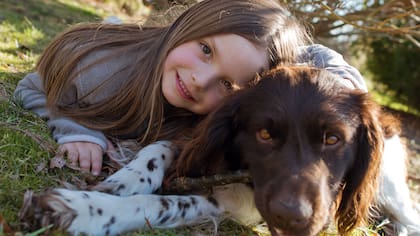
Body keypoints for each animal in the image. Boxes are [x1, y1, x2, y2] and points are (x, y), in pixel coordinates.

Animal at [20, 66, 420, 234]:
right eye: (264, 134)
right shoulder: (197, 140)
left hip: (387, 185)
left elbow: (162, 204)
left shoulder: (240, 207)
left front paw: (83, 211)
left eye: (334, 139)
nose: (293, 217)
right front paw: (125, 180)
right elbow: (159, 151)